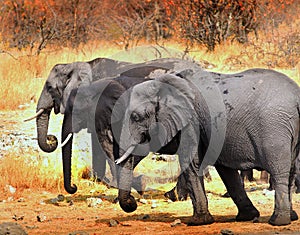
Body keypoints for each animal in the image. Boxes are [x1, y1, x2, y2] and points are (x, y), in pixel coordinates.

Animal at [116, 66, 300, 226]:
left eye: (136, 117)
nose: (133, 203)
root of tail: (296, 97)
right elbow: (226, 170)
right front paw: (247, 216)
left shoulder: (191, 121)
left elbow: (191, 164)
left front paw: (198, 222)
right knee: (291, 171)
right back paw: (291, 217)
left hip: (275, 129)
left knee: (280, 172)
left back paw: (278, 222)